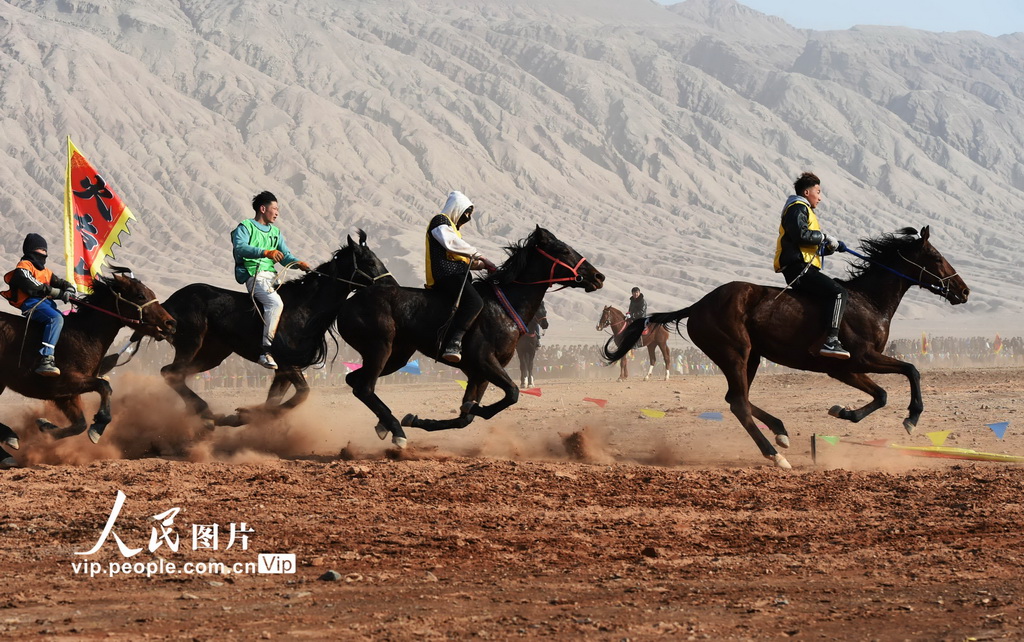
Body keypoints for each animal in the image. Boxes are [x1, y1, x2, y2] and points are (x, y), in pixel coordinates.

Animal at [0, 272, 175, 466]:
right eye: (140, 295)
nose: (170, 322)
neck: (84, 334)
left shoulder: (66, 395)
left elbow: (79, 425)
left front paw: (46, 426)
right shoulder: (64, 382)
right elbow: (104, 387)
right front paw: (98, 427)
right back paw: (8, 442)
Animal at [337, 228, 606, 450]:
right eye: (564, 250)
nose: (598, 277)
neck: (503, 307)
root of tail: (349, 301)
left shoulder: (479, 374)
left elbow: (464, 419)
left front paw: (419, 419)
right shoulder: (485, 362)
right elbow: (511, 393)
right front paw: (472, 406)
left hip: (397, 357)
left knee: (354, 380)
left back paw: (385, 424)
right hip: (379, 349)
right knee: (364, 386)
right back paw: (396, 431)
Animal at [602, 228, 970, 468]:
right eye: (936, 257)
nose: (964, 292)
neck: (869, 301)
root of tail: (698, 305)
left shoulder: (847, 369)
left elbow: (882, 393)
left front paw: (843, 411)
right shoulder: (859, 360)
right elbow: (910, 371)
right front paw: (911, 417)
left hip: (751, 357)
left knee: (738, 399)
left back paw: (780, 432)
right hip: (735, 353)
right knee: (738, 403)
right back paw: (775, 454)